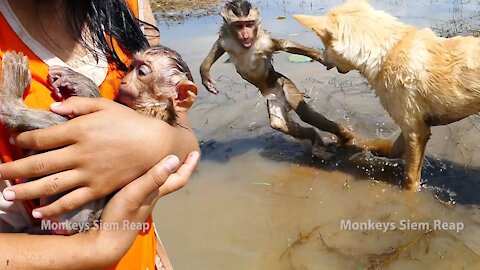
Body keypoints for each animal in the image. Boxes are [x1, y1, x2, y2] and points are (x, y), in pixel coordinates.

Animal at [0, 44, 197, 234]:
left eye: (141, 72)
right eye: (131, 67)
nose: (124, 80)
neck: (152, 105)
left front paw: (81, 84)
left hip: (72, 212)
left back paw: (12, 106)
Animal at [199, 0, 356, 157]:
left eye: (249, 24)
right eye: (239, 25)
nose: (245, 34)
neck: (247, 45)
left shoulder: (266, 42)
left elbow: (286, 45)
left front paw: (325, 59)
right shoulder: (226, 40)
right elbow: (217, 47)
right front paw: (205, 74)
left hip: (284, 84)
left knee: (306, 115)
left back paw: (345, 136)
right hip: (274, 98)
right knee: (279, 124)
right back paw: (314, 137)